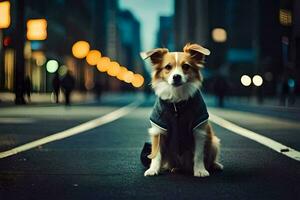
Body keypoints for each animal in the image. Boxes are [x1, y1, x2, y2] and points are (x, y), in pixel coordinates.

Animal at [141, 43, 223, 177]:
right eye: (168, 67)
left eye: (186, 66)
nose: (176, 77)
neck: (177, 101)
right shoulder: (158, 130)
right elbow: (156, 154)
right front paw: (153, 169)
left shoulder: (199, 131)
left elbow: (199, 154)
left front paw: (200, 170)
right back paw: (175, 168)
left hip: (214, 142)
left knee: (209, 160)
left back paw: (215, 165)